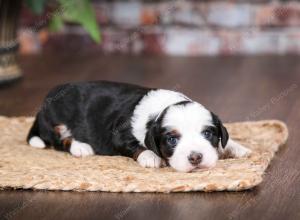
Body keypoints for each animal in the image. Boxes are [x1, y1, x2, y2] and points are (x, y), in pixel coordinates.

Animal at [27, 81, 251, 172]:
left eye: (207, 133)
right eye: (172, 139)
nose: (196, 157)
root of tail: (41, 109)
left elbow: (225, 141)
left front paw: (238, 148)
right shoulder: (118, 134)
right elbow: (136, 146)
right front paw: (150, 157)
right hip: (55, 122)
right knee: (59, 140)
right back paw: (80, 147)